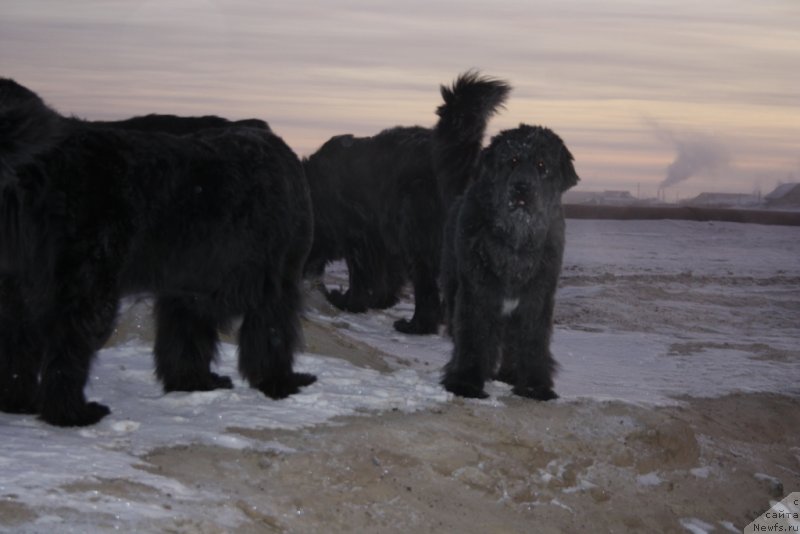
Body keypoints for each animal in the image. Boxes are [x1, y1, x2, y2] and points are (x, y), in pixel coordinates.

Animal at [0, 79, 316, 430]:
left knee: (17, 346)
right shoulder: (278, 285)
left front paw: (192, 382)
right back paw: (72, 413)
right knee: (66, 347)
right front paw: (281, 383)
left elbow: (185, 341)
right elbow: (273, 338)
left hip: (21, 287)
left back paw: (17, 402)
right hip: (88, 288)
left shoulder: (186, 289)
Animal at [304, 73, 510, 336]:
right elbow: (388, 277)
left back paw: (416, 326)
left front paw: (349, 302)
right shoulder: (382, 239)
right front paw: (379, 301)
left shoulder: (358, 236)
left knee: (427, 291)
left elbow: (360, 275)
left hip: (416, 237)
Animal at [440, 102, 580, 402]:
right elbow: (474, 338)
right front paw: (466, 382)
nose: (521, 187)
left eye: (541, 165)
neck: (516, 243)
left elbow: (533, 343)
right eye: (513, 161)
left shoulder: (536, 300)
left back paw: (509, 374)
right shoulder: (477, 294)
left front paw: (535, 386)